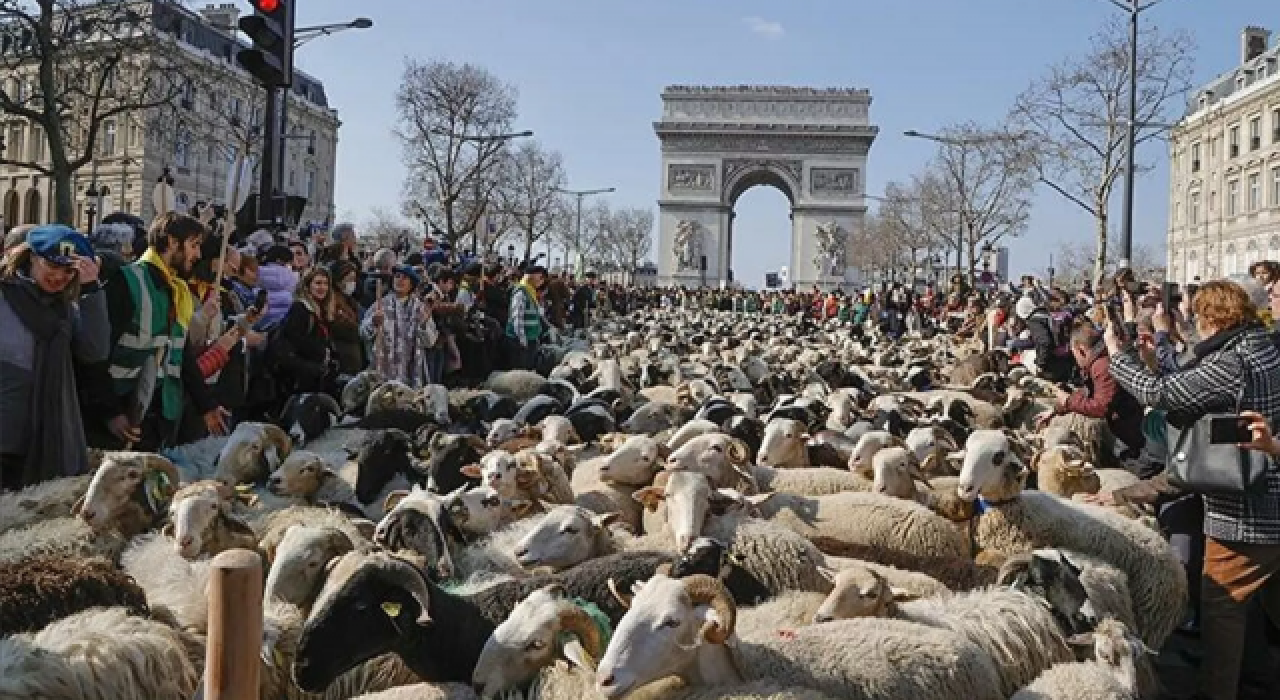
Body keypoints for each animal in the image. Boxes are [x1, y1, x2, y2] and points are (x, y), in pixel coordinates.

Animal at [957, 429, 1182, 650]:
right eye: (967, 449)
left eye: (998, 456)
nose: (965, 488)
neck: (1013, 509)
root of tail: (1173, 558)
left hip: (1150, 623)